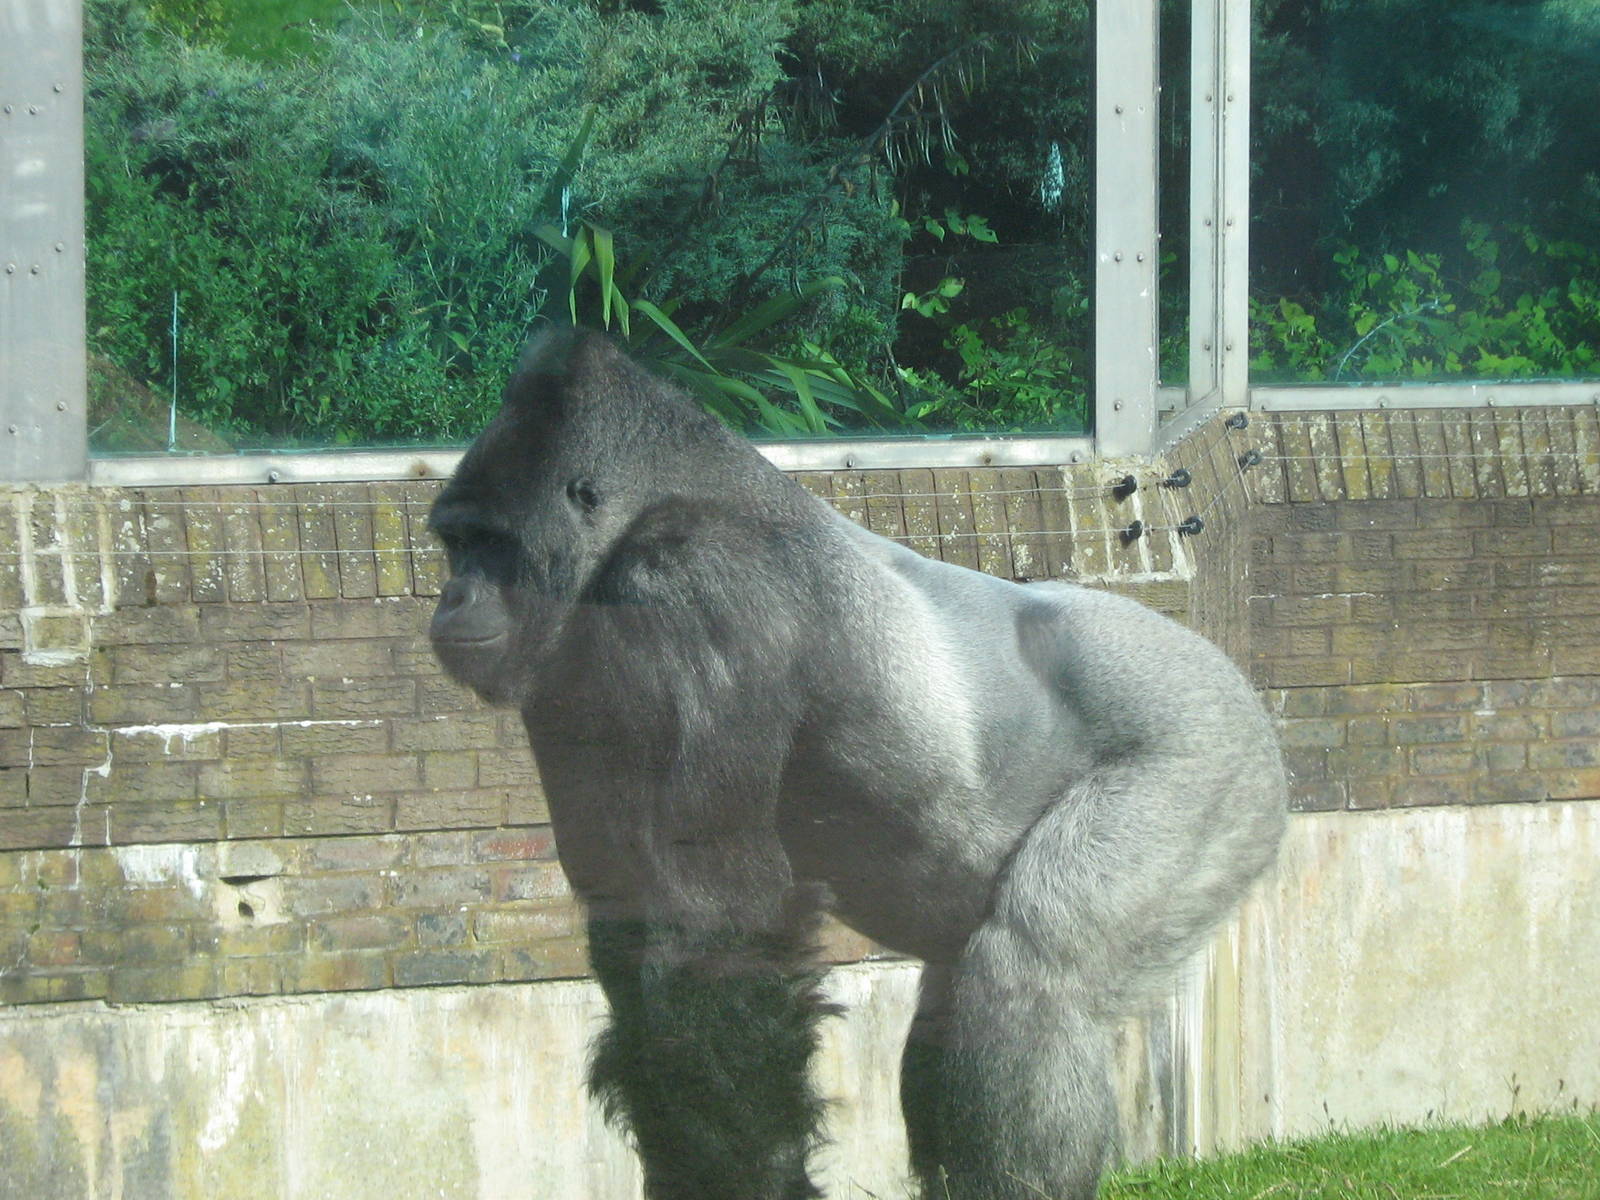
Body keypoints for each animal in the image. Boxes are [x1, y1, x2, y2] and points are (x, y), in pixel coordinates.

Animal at [427, 327, 1287, 1200]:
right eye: (452, 544)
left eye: (489, 545)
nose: (451, 600)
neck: (658, 502)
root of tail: (1238, 684)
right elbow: (636, 929)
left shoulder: (691, 584)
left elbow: (710, 932)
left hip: (1207, 758)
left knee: (1034, 982)